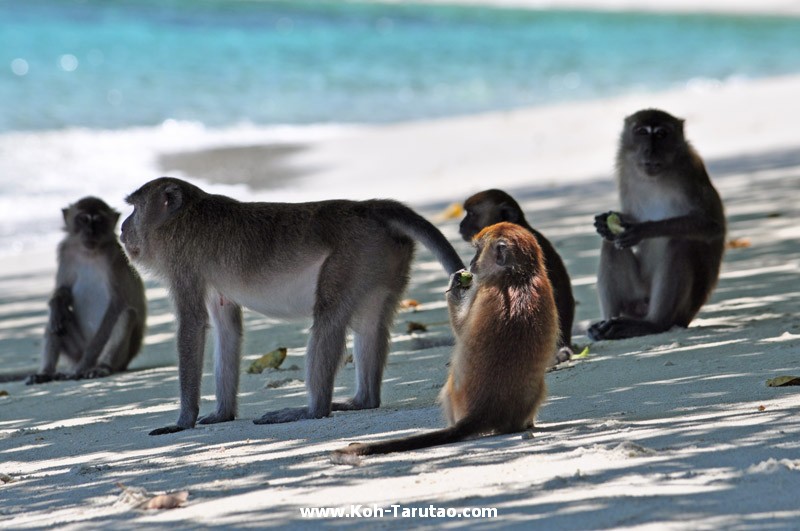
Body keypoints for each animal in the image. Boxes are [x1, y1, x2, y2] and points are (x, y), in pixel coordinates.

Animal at [25, 197, 148, 384]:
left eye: (98, 220)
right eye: (83, 219)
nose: (90, 232)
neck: (89, 253)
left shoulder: (115, 258)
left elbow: (117, 304)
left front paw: (84, 366)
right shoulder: (66, 252)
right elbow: (63, 289)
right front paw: (58, 302)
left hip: (121, 358)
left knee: (127, 315)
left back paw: (100, 367)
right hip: (76, 350)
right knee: (55, 321)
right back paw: (46, 372)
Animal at [121, 177, 466, 434]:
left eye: (134, 208)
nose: (122, 227)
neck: (184, 215)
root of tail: (368, 207)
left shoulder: (182, 261)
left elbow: (192, 324)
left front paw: (183, 421)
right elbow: (226, 329)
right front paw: (222, 413)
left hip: (353, 256)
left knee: (329, 316)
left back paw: (313, 409)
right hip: (381, 261)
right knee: (370, 323)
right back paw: (362, 401)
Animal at [332, 222, 556, 460]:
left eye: (478, 250)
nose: (472, 263)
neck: (519, 275)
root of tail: (483, 411)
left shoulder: (482, 290)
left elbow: (461, 329)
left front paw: (456, 289)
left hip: (454, 397)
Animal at [588, 108, 724, 340]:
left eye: (661, 134)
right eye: (642, 132)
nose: (650, 150)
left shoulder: (690, 172)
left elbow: (711, 226)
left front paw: (642, 230)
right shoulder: (626, 173)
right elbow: (627, 219)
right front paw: (607, 222)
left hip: (680, 312)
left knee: (680, 243)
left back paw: (653, 324)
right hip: (637, 296)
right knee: (610, 244)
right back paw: (607, 324)